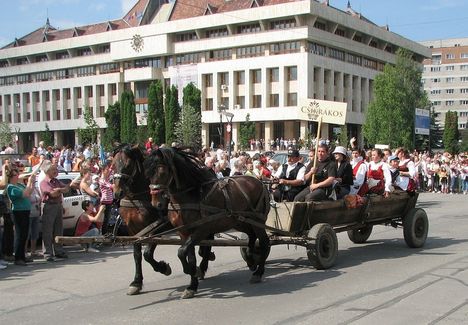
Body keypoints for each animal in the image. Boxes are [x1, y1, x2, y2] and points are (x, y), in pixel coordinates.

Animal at [112, 144, 173, 294]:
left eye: (128, 164)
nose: (117, 192)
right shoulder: (133, 230)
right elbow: (137, 254)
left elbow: (147, 254)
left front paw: (163, 267)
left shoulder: (158, 227)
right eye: (113, 164)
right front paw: (136, 282)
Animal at [145, 148, 270, 298]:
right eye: (148, 173)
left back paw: (258, 272)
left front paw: (193, 271)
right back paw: (251, 260)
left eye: (162, 171)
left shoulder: (202, 229)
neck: (191, 197)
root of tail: (259, 182)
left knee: (264, 242)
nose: (156, 203)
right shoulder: (183, 231)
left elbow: (181, 252)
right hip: (239, 221)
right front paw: (192, 285)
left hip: (257, 220)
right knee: (251, 236)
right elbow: (188, 256)